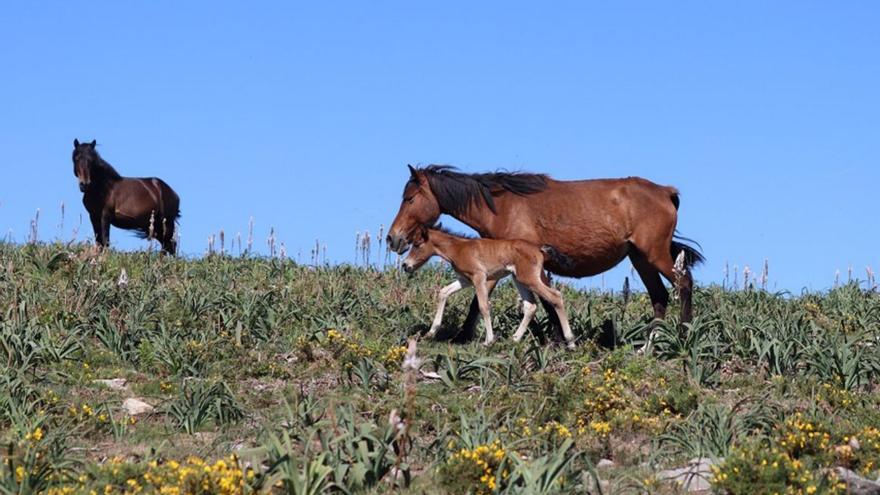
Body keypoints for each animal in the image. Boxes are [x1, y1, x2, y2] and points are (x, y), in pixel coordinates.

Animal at [388, 166, 704, 340]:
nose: (393, 238)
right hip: (640, 259)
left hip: (655, 255)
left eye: (410, 198)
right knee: (660, 297)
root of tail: (665, 192)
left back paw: (684, 334)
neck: (501, 206)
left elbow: (483, 302)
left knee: (684, 283)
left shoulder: (509, 267)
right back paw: (648, 346)